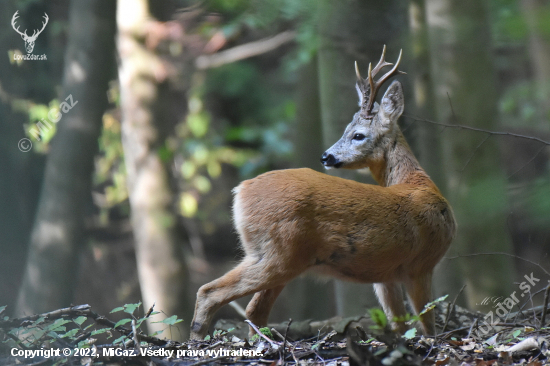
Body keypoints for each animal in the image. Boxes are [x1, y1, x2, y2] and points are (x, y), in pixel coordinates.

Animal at [191, 47, 458, 338]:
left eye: (357, 135)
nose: (326, 156)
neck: (417, 182)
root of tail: (241, 190)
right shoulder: (421, 265)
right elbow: (426, 324)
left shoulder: (384, 274)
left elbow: (398, 323)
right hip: (279, 252)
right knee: (210, 292)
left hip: (277, 256)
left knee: (254, 310)